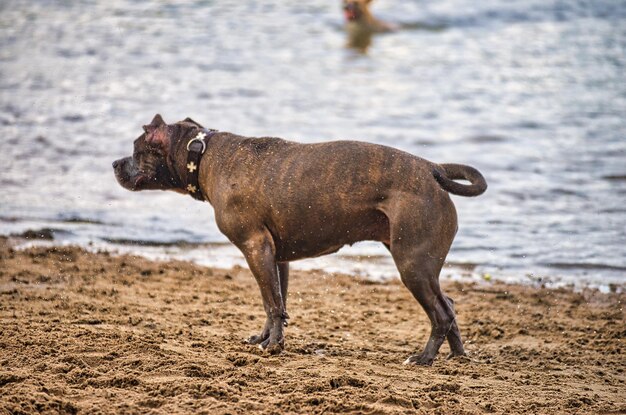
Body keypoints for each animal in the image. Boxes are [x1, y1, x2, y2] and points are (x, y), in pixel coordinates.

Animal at [113, 115, 488, 366]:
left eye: (136, 149)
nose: (115, 163)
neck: (203, 154)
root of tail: (432, 168)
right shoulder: (276, 257)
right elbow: (275, 303)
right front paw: (265, 338)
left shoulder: (255, 247)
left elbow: (271, 303)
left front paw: (273, 346)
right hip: (421, 265)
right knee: (449, 305)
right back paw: (458, 356)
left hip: (412, 264)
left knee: (441, 313)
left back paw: (424, 358)